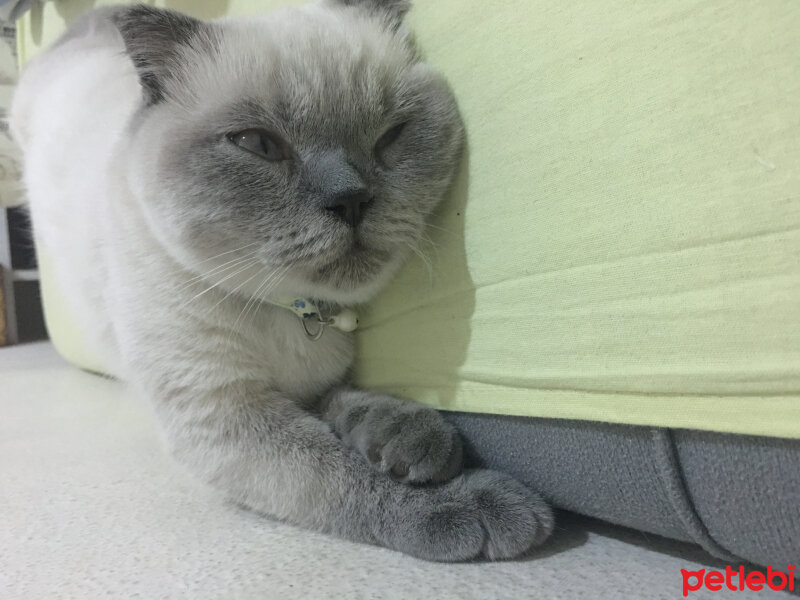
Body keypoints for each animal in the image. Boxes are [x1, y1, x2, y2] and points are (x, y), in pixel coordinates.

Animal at [10, 1, 552, 564]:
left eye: (391, 136)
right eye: (258, 145)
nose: (351, 199)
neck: (296, 309)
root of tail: (84, 23)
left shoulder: (309, 383)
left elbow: (352, 402)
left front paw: (409, 439)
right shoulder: (226, 413)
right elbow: (342, 477)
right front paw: (470, 505)